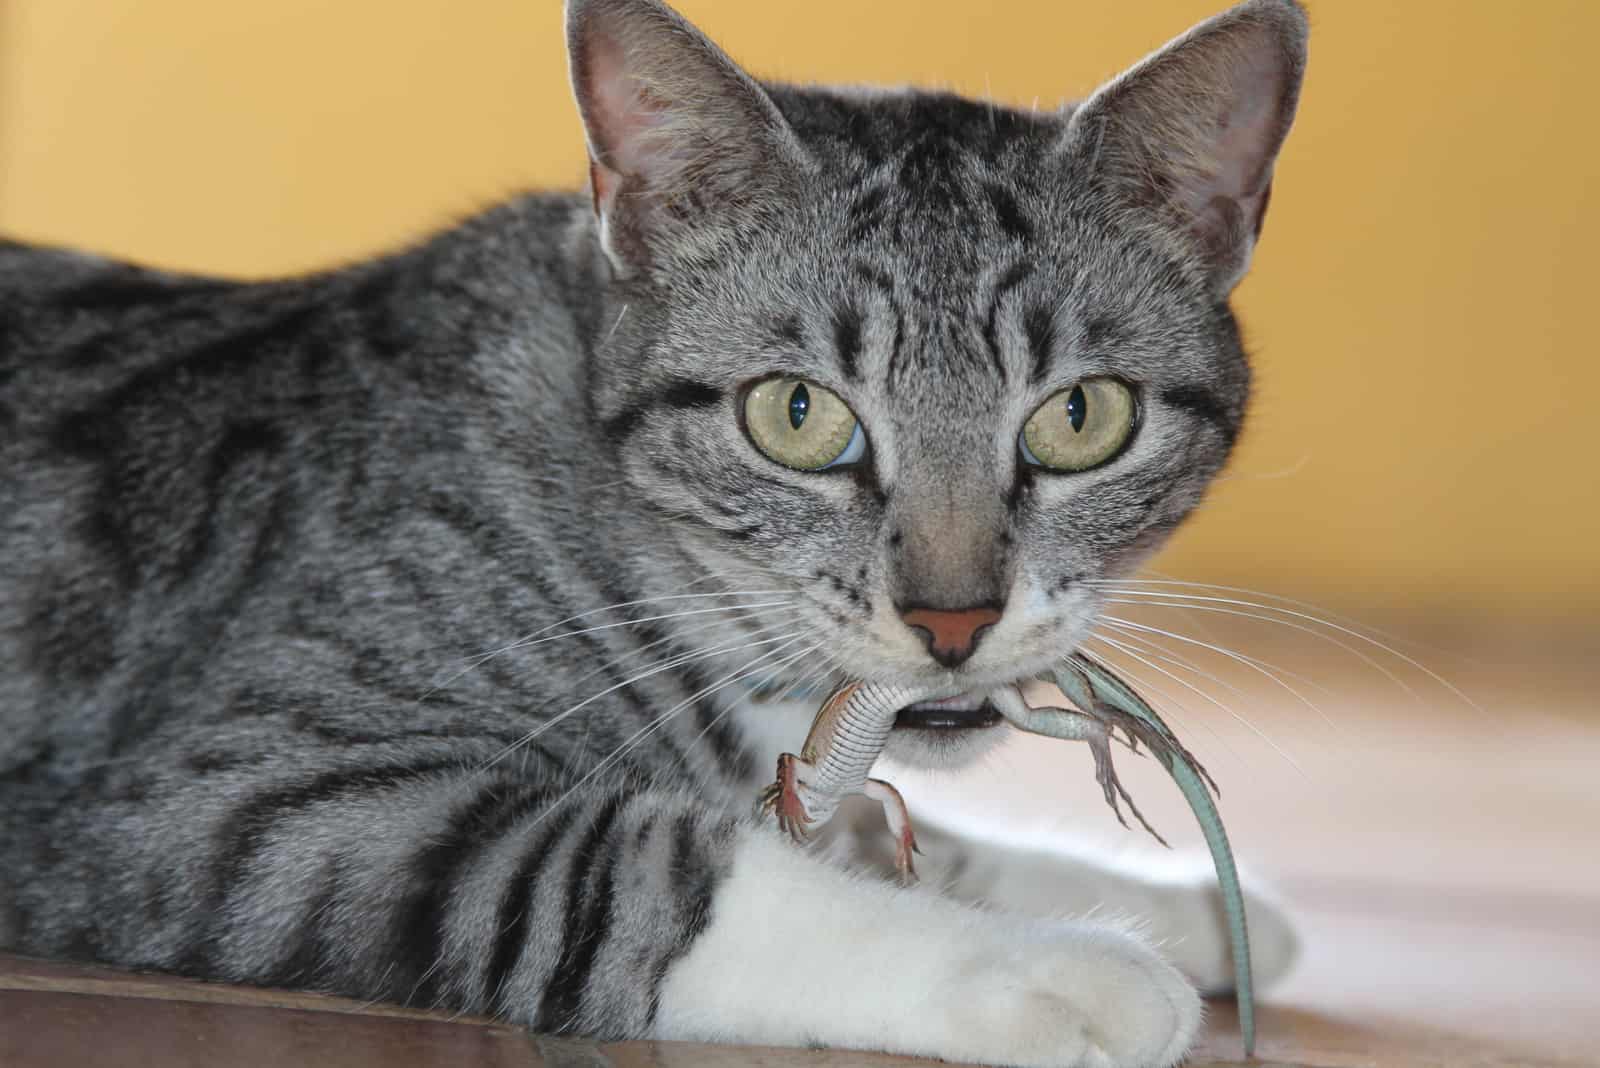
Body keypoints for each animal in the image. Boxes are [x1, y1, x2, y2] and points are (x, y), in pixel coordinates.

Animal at [0, 2, 1299, 1061]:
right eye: (797, 414)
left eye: (1081, 418)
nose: (951, 618)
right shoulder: (235, 804)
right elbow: (625, 873)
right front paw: (1065, 966)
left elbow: (877, 824)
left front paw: (1183, 906)